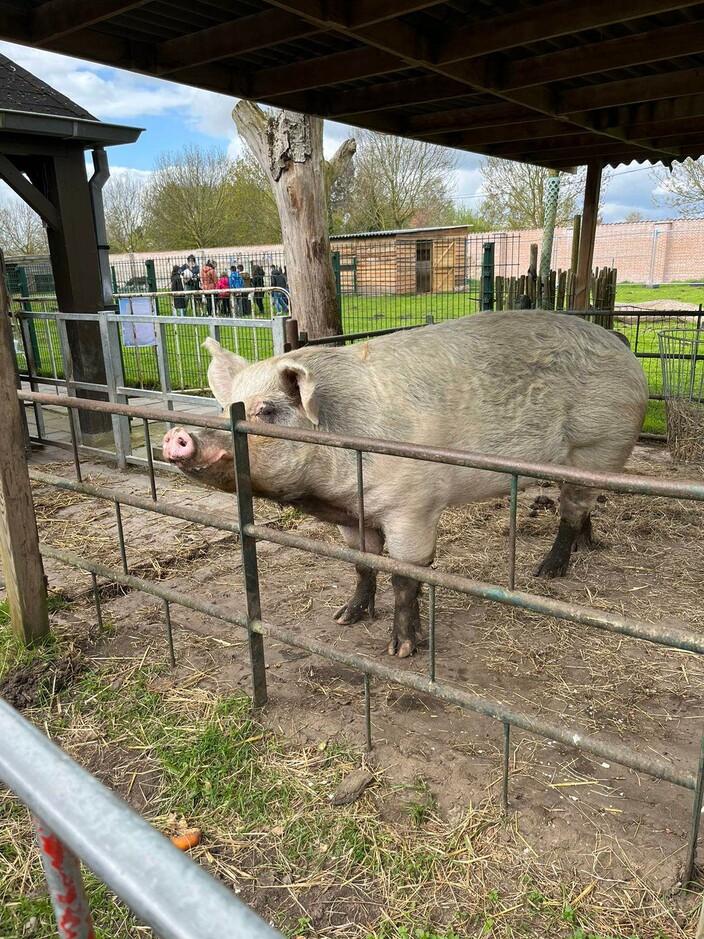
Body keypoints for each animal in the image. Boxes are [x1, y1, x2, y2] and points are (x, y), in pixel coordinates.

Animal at [162, 312, 648, 656]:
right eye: (224, 407)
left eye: (267, 411)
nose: (177, 436)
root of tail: (618, 342)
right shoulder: (352, 515)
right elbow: (362, 565)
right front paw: (344, 618)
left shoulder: (412, 506)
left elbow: (406, 575)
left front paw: (402, 650)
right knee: (584, 506)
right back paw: (584, 547)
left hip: (600, 445)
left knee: (572, 510)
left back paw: (546, 572)